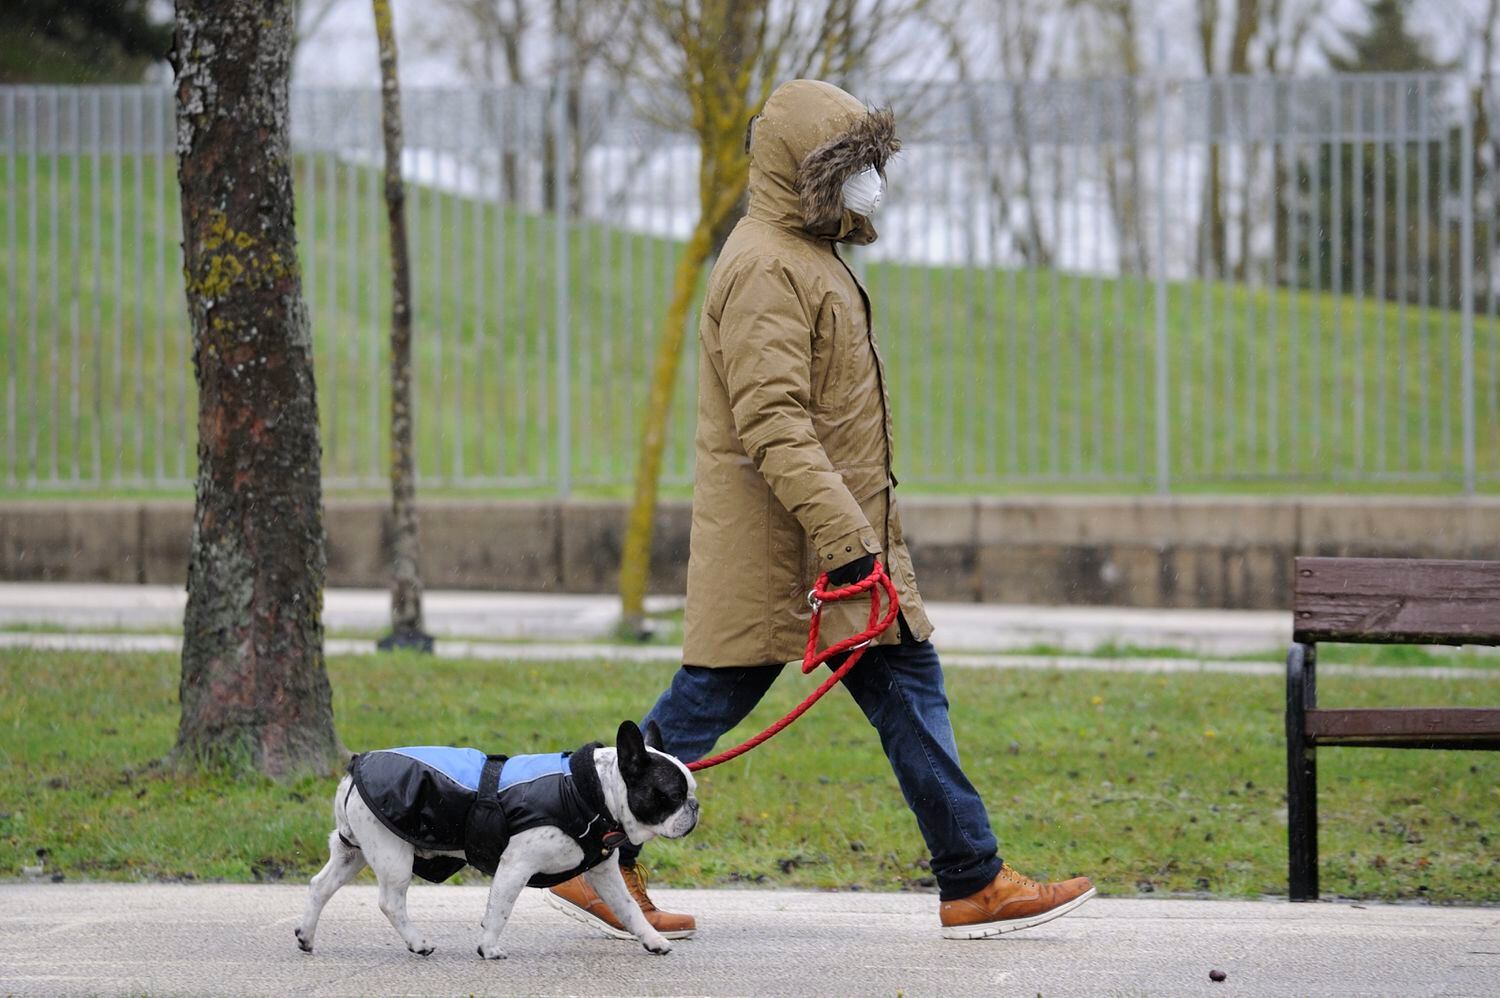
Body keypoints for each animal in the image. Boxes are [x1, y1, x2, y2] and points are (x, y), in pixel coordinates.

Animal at [295, 723, 699, 960]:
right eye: (673, 796)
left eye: (690, 792)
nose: (695, 807)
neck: (592, 790)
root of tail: (355, 767)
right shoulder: (516, 865)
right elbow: (500, 910)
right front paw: (489, 948)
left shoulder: (604, 874)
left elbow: (629, 909)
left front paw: (652, 939)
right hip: (393, 856)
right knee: (390, 901)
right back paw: (417, 942)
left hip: (354, 852)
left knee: (320, 886)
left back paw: (306, 936)